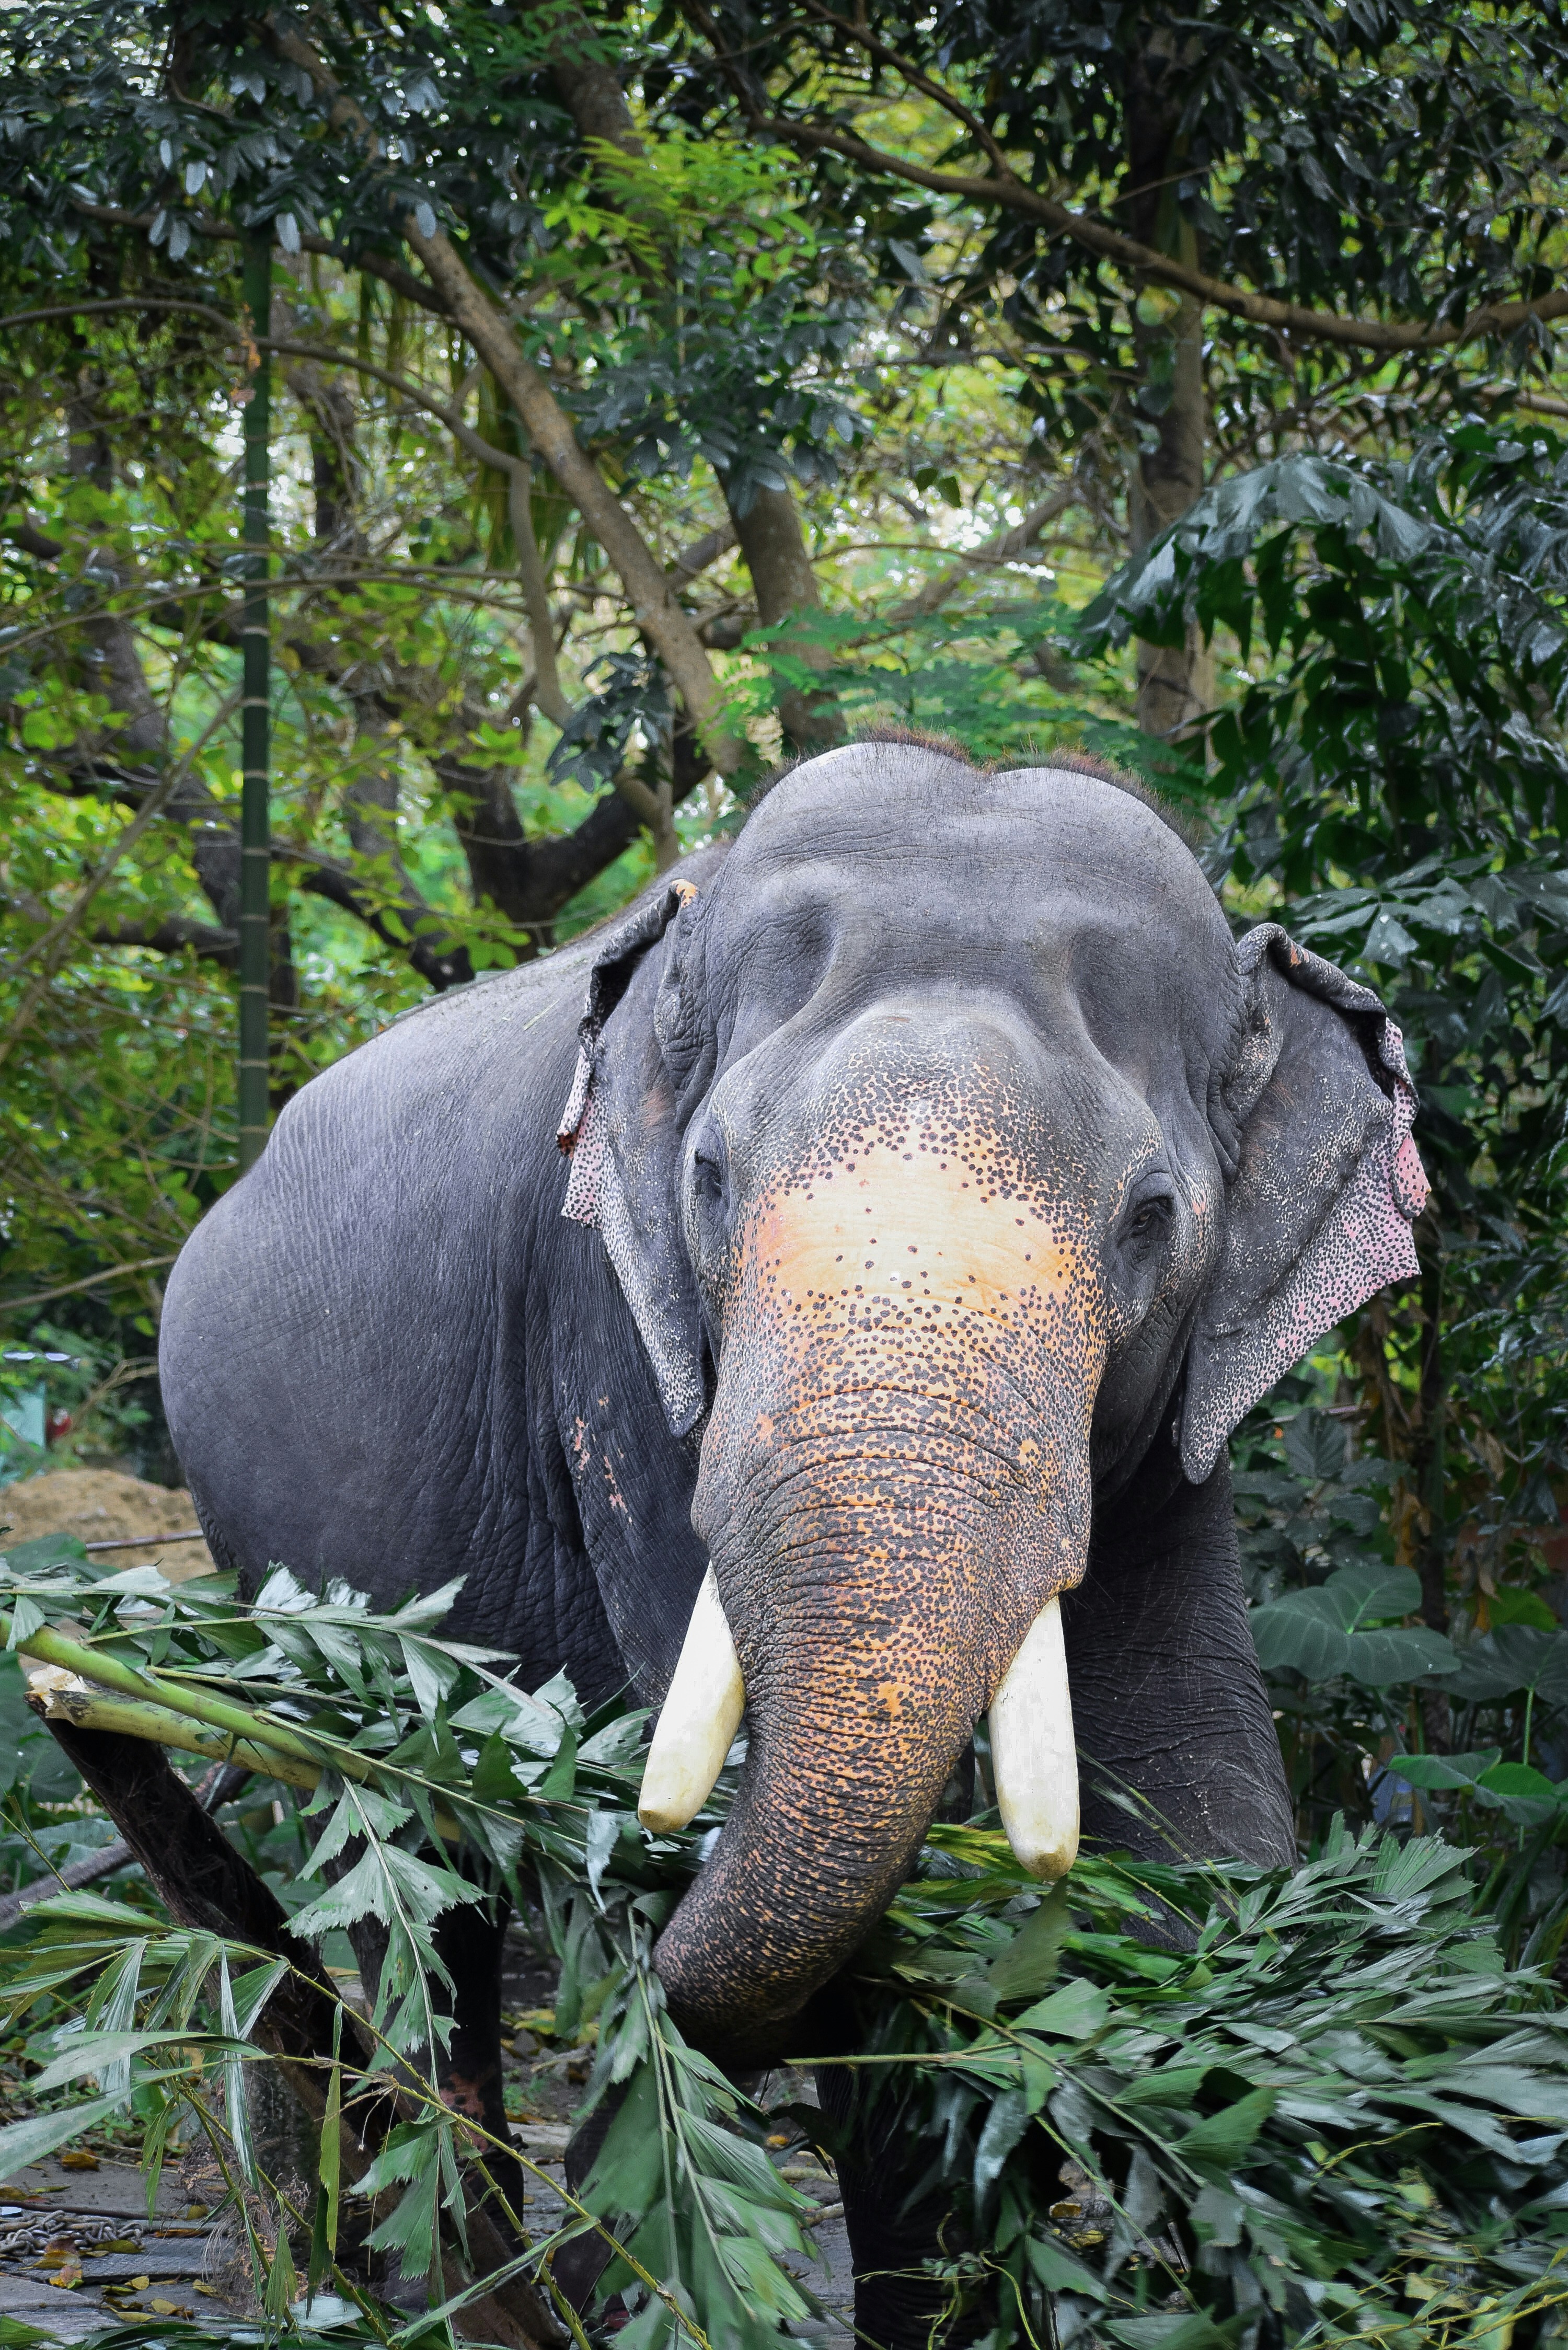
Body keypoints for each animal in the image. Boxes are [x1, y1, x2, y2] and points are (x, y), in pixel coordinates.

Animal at [157, 736, 1428, 2343]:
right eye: (707, 1177)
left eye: (1151, 1216)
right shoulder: (613, 1337)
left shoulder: (1178, 1430)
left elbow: (1202, 1805)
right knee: (409, 1883)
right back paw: (449, 2288)